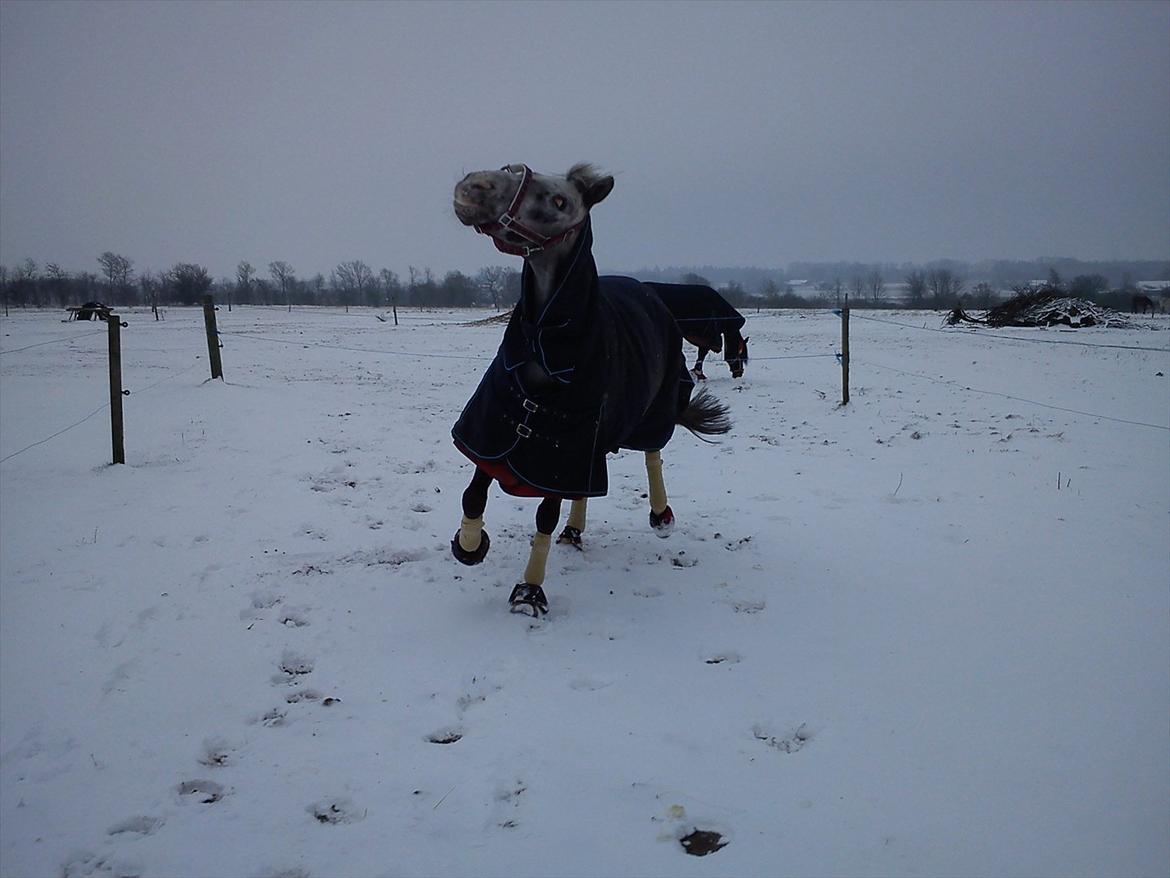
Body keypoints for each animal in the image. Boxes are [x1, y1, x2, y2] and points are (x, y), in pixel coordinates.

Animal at [450, 163, 731, 616]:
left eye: (560, 201)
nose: (473, 188)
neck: (545, 349)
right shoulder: (495, 433)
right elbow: (473, 494)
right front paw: (470, 545)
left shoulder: (560, 452)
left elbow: (545, 515)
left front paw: (529, 592)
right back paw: (574, 531)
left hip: (651, 412)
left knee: (652, 455)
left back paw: (661, 517)